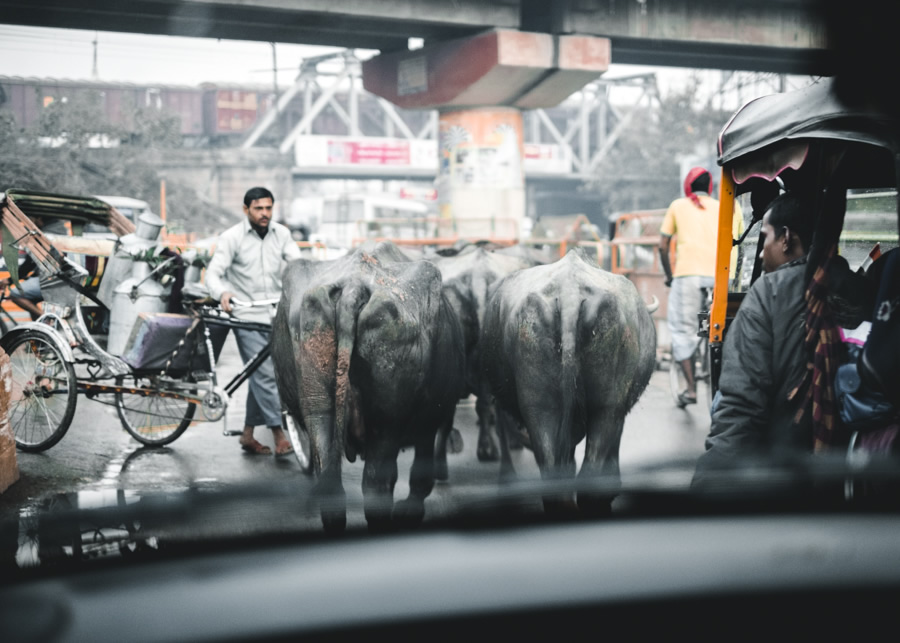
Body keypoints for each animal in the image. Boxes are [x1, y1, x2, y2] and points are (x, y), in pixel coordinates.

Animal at [272, 242, 464, 532]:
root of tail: (354, 286)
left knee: (330, 482)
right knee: (377, 486)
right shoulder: (430, 419)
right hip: (386, 420)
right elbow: (421, 473)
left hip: (317, 403)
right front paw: (411, 510)